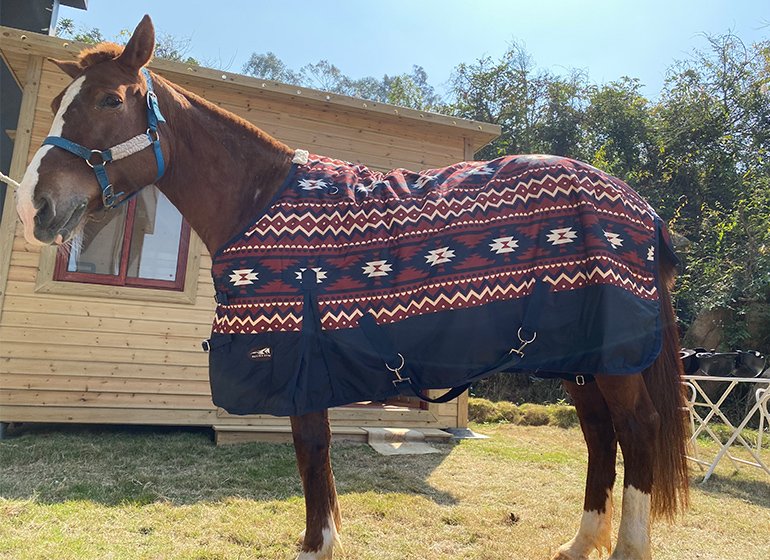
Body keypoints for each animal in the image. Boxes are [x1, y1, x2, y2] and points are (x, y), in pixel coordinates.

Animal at [15, 15, 688, 560]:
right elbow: (315, 458)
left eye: (110, 99)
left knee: (638, 431)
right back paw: (580, 543)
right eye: (56, 103)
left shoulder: (300, 363)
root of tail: (638, 205)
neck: (259, 200)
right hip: (582, 360)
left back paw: (627, 548)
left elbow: (312, 454)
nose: (33, 205)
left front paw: (317, 545)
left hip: (615, 361)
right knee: (600, 437)